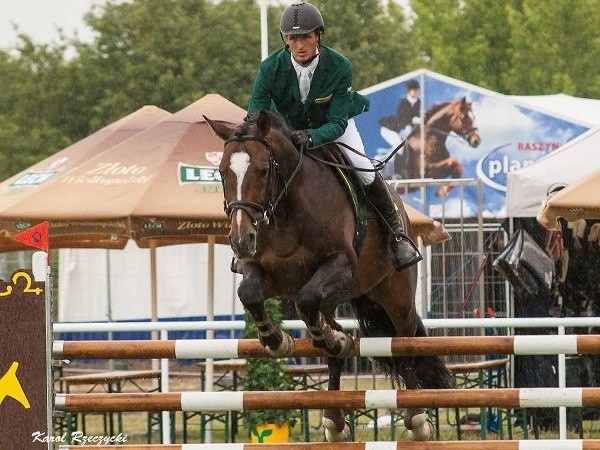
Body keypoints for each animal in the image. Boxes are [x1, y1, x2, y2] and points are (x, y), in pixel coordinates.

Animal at [207, 110, 454, 442]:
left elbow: (306, 298)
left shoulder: (342, 265)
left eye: (262, 170)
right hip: (340, 297)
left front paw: (320, 338)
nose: (240, 240)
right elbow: (250, 293)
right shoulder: (261, 271)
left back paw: (416, 418)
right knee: (329, 334)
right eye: (222, 172)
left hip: (395, 295)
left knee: (404, 342)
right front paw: (277, 340)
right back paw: (335, 418)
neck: (285, 212)